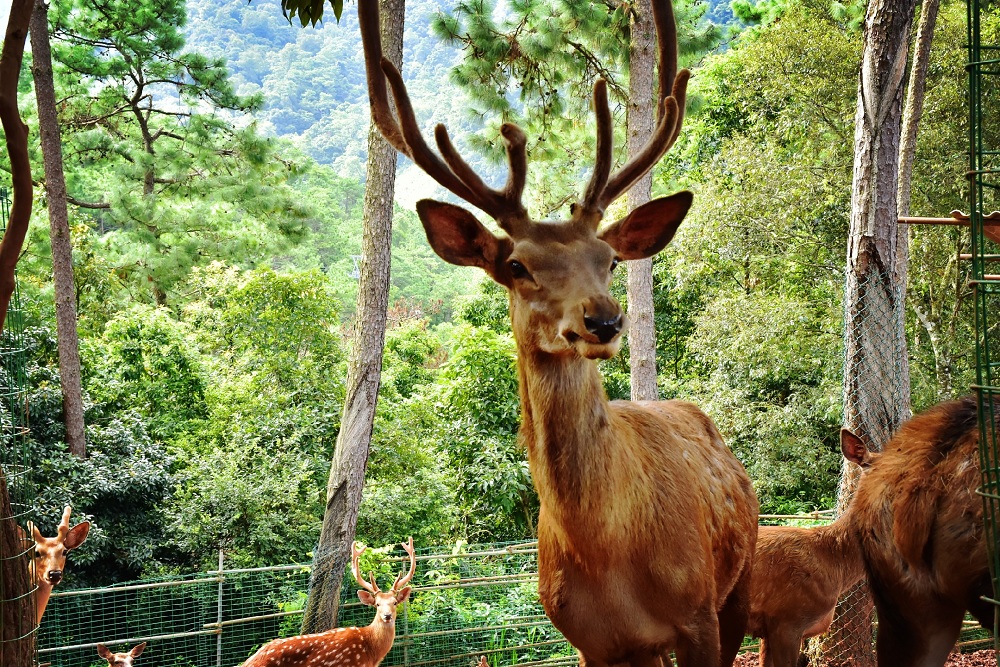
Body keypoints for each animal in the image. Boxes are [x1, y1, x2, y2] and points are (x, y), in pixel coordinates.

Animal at [360, 1, 756, 667]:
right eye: (517, 266)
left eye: (611, 259)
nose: (604, 320)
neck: (610, 554)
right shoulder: (587, 638)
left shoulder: (698, 612)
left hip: (736, 583)